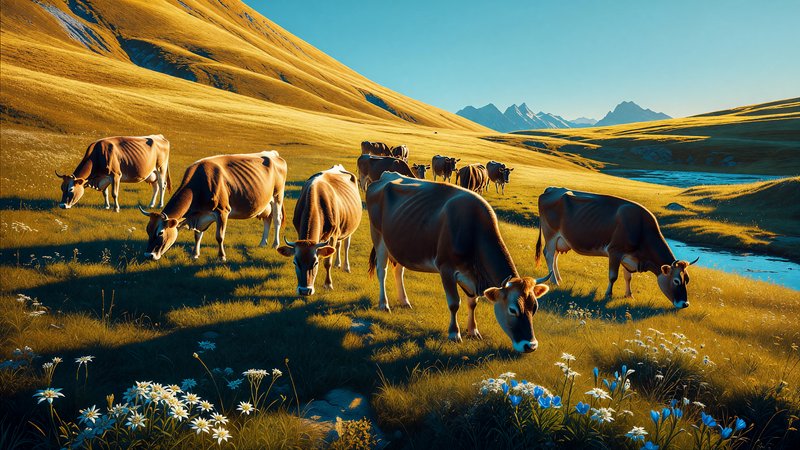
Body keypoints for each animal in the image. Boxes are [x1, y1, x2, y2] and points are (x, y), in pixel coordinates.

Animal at [138, 151, 287, 261]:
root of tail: (273, 154)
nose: (148, 255)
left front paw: (222, 257)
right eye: (147, 230)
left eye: (160, 232)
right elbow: (197, 235)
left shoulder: (222, 211)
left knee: (276, 219)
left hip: (277, 195)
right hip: (266, 203)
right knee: (267, 219)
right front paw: (195, 254)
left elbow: (219, 236)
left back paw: (275, 244)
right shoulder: (200, 215)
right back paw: (262, 243)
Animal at [276, 165, 362, 296]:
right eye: (295, 262)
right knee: (338, 245)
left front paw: (328, 284)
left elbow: (327, 262)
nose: (304, 291)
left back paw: (346, 267)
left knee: (346, 245)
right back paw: (338, 263)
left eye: (315, 263)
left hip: (348, 228)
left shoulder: (333, 235)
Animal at [366, 172, 553, 353]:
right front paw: (454, 334)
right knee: (382, 271)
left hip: (400, 243)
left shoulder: (471, 276)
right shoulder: (446, 268)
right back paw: (384, 304)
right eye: (512, 309)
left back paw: (404, 301)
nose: (530, 346)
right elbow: (454, 303)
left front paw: (473, 331)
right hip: (378, 234)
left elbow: (473, 303)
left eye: (534, 308)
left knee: (399, 271)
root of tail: (386, 175)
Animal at [535, 187, 698, 308]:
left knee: (554, 257)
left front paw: (629, 295)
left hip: (561, 239)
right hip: (550, 233)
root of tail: (552, 189)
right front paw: (608, 294)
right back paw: (555, 281)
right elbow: (613, 276)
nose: (685, 304)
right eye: (676, 281)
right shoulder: (615, 251)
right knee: (549, 255)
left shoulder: (629, 256)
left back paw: (558, 278)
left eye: (687, 279)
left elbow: (628, 277)